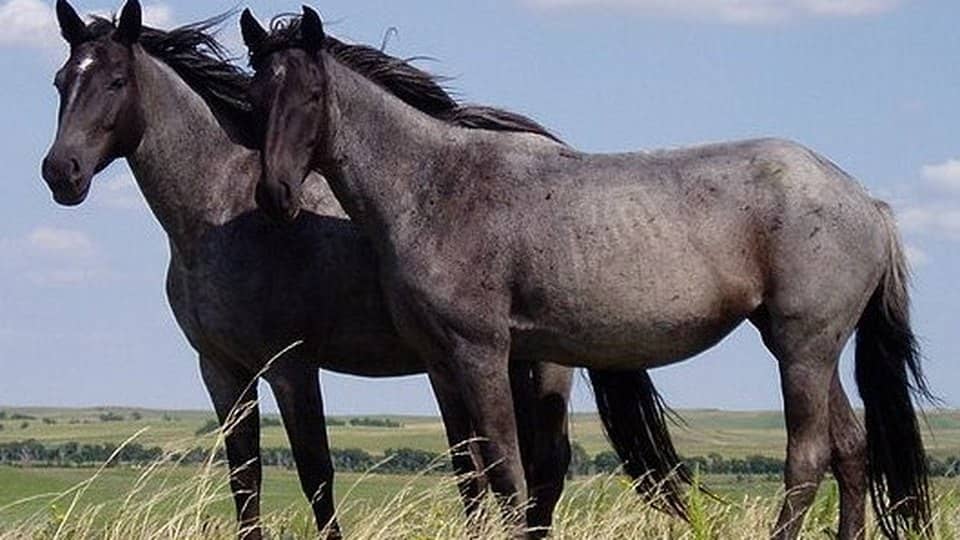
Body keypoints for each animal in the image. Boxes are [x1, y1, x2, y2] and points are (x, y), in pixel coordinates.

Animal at [41, 1, 584, 538]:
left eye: (116, 81)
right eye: (61, 80)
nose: (60, 171)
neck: (219, 214)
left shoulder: (292, 367)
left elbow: (316, 473)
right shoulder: (222, 370)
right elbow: (245, 479)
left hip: (541, 365)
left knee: (542, 472)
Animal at [243, 7, 933, 539]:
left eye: (311, 97)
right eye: (255, 97)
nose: (275, 196)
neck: (435, 187)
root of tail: (865, 200)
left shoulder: (482, 353)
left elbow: (506, 472)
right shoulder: (440, 363)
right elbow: (470, 476)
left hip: (802, 351)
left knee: (808, 459)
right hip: (808, 347)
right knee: (851, 452)